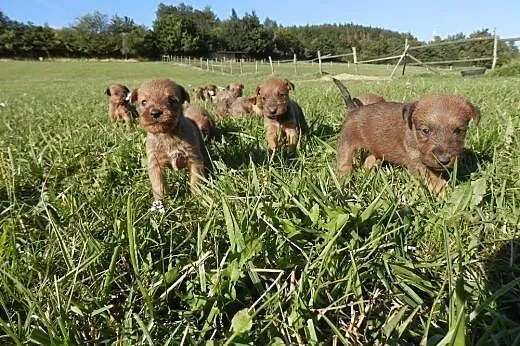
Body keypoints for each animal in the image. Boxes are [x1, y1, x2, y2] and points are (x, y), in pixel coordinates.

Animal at [130, 78, 207, 211]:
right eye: (144, 102)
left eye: (172, 100)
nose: (155, 113)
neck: (167, 135)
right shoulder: (155, 163)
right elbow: (159, 185)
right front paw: (161, 202)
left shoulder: (194, 160)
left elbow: (195, 181)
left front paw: (197, 198)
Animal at [334, 79, 480, 197]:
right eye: (425, 131)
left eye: (458, 131)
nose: (443, 160)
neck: (414, 133)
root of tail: (354, 109)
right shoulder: (416, 162)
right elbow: (433, 179)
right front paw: (444, 193)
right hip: (346, 144)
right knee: (343, 163)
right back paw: (343, 180)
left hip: (374, 148)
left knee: (369, 160)